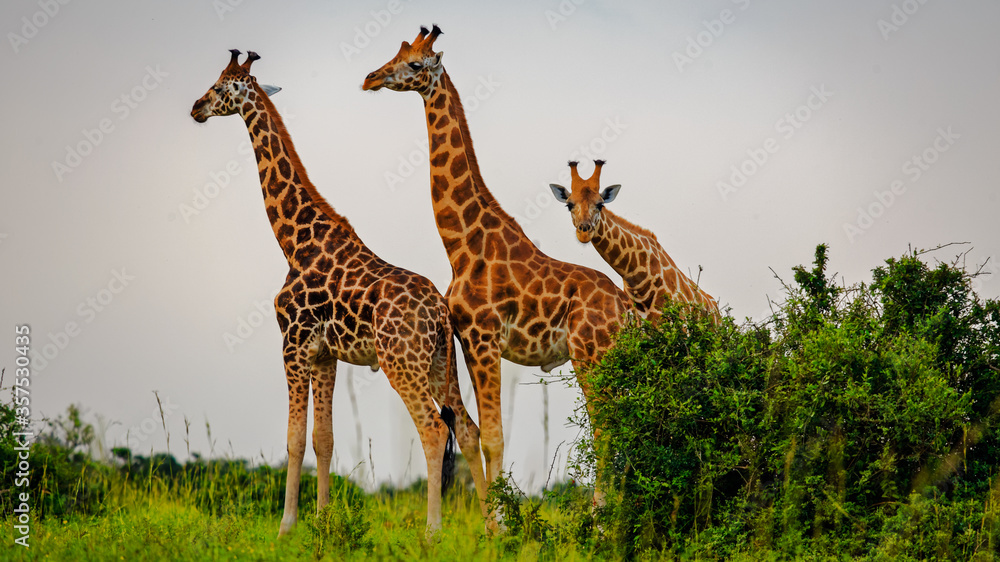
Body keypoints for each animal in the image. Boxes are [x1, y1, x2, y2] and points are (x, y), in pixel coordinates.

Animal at [190, 49, 488, 537]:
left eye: (218, 87)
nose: (196, 108)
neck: (294, 242)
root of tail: (441, 314)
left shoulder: (292, 343)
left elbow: (294, 439)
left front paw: (287, 526)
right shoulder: (325, 354)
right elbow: (323, 439)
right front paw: (324, 522)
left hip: (401, 363)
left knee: (434, 430)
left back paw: (432, 532)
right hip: (440, 364)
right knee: (466, 428)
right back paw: (491, 528)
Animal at [363, 27, 632, 503]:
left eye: (414, 64)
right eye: (395, 53)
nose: (371, 78)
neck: (462, 244)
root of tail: (623, 307)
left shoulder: (486, 339)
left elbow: (493, 437)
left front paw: (501, 519)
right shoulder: (469, 341)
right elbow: (482, 434)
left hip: (591, 354)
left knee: (605, 430)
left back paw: (600, 516)